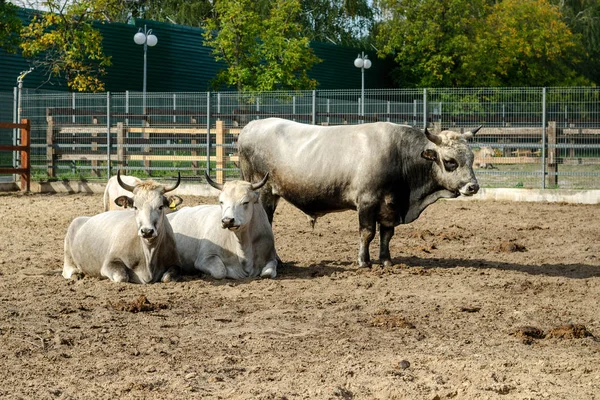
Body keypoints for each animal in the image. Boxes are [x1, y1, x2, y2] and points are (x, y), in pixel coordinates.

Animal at [237, 119, 480, 268]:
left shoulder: (389, 206)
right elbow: (367, 233)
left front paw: (386, 260)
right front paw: (364, 261)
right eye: (450, 161)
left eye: (471, 158)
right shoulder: (367, 201)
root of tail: (252, 126)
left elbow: (386, 235)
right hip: (264, 192)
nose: (473, 186)